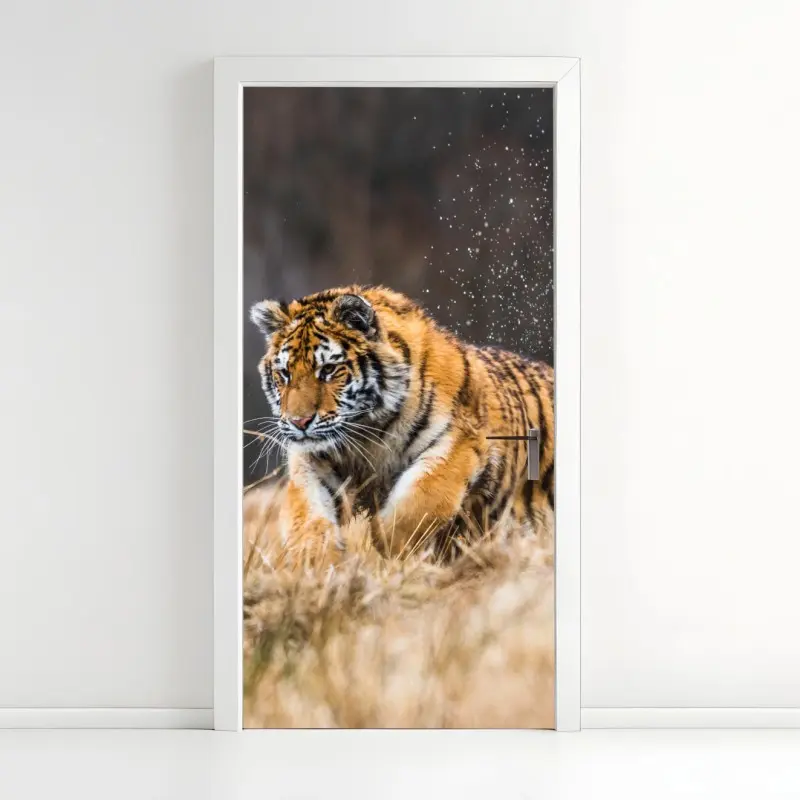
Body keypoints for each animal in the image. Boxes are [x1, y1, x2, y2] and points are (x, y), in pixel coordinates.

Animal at [249, 285, 554, 561]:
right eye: (284, 373)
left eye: (328, 369)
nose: (299, 422)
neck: (367, 432)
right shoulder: (311, 461)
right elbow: (307, 517)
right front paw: (316, 565)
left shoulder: (458, 444)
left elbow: (421, 500)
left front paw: (387, 548)